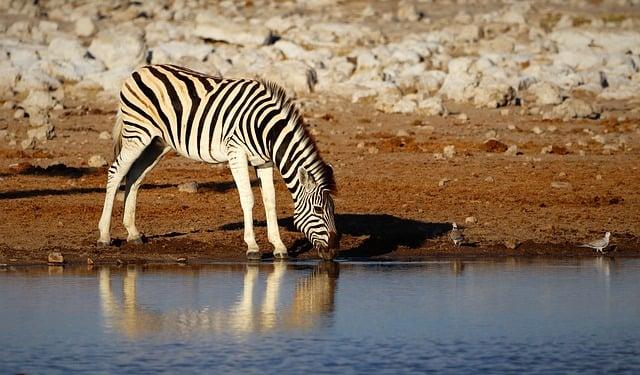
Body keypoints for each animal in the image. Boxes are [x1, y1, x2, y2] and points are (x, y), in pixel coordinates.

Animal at [97, 63, 338, 260]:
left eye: (333, 209)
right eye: (318, 210)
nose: (334, 250)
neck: (266, 130)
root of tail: (139, 70)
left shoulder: (264, 161)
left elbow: (270, 201)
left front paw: (279, 247)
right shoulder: (236, 152)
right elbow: (248, 199)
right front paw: (252, 247)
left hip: (157, 143)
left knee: (134, 176)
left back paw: (133, 233)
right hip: (137, 134)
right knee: (116, 172)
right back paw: (104, 236)